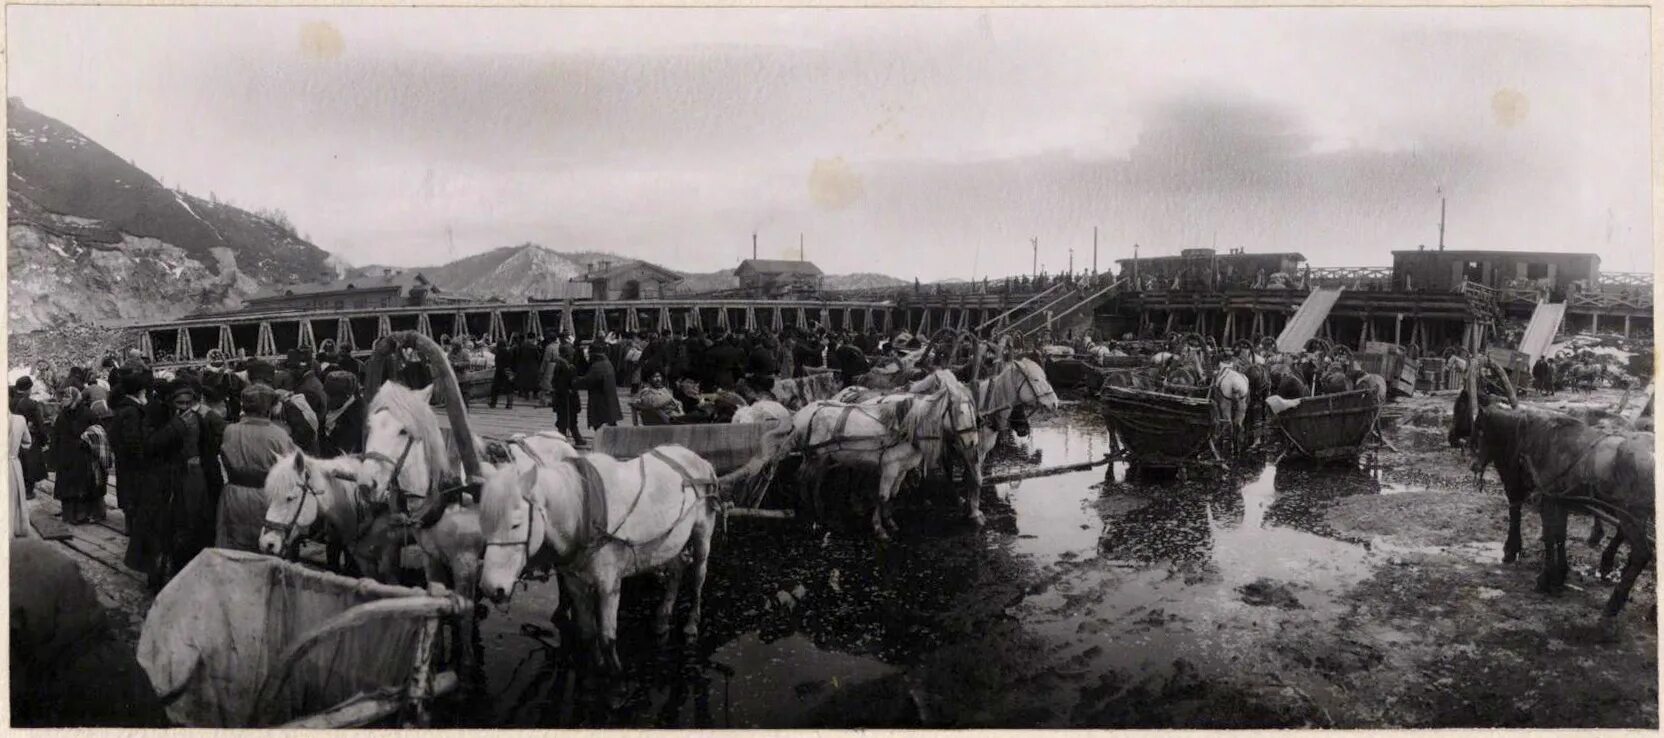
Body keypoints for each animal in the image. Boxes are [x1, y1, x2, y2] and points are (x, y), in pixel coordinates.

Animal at [475, 445, 722, 674]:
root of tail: (698, 458)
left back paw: (691, 624)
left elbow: (607, 638)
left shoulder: (609, 585)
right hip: (669, 542)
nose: (490, 588)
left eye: (516, 524)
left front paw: (614, 677)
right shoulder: (575, 583)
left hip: (702, 533)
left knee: (698, 575)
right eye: (484, 522)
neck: (583, 513)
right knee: (676, 570)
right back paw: (662, 618)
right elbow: (587, 633)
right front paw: (594, 668)